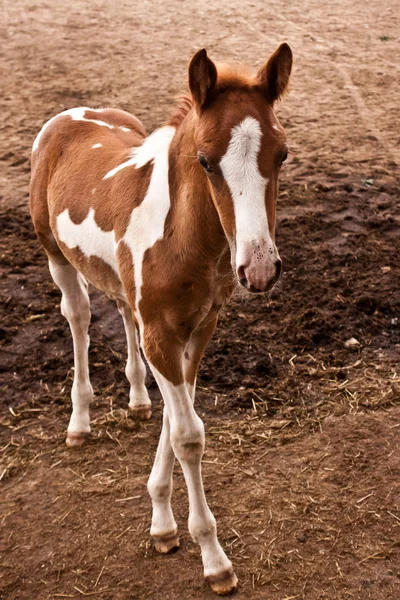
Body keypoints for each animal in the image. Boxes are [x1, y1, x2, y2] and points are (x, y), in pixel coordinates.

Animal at [28, 43, 290, 596]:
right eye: (205, 160)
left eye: (282, 154)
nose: (258, 268)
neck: (186, 239)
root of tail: (71, 114)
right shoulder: (162, 334)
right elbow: (188, 434)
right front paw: (214, 560)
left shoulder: (199, 327)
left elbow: (178, 417)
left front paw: (164, 525)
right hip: (55, 255)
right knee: (78, 316)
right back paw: (79, 422)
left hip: (122, 284)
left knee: (121, 310)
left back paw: (137, 400)